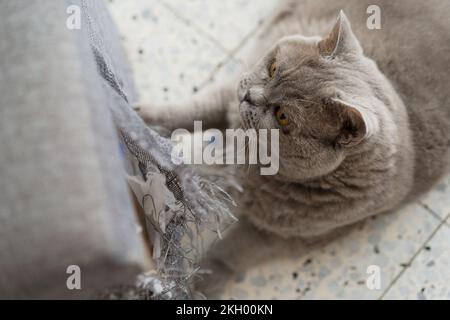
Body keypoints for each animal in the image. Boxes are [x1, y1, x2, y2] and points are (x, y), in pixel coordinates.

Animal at [137, 0, 450, 296]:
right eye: (273, 68)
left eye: (283, 116)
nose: (250, 96)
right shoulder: (230, 93)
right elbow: (194, 110)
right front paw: (140, 121)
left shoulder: (287, 235)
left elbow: (233, 252)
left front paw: (192, 284)